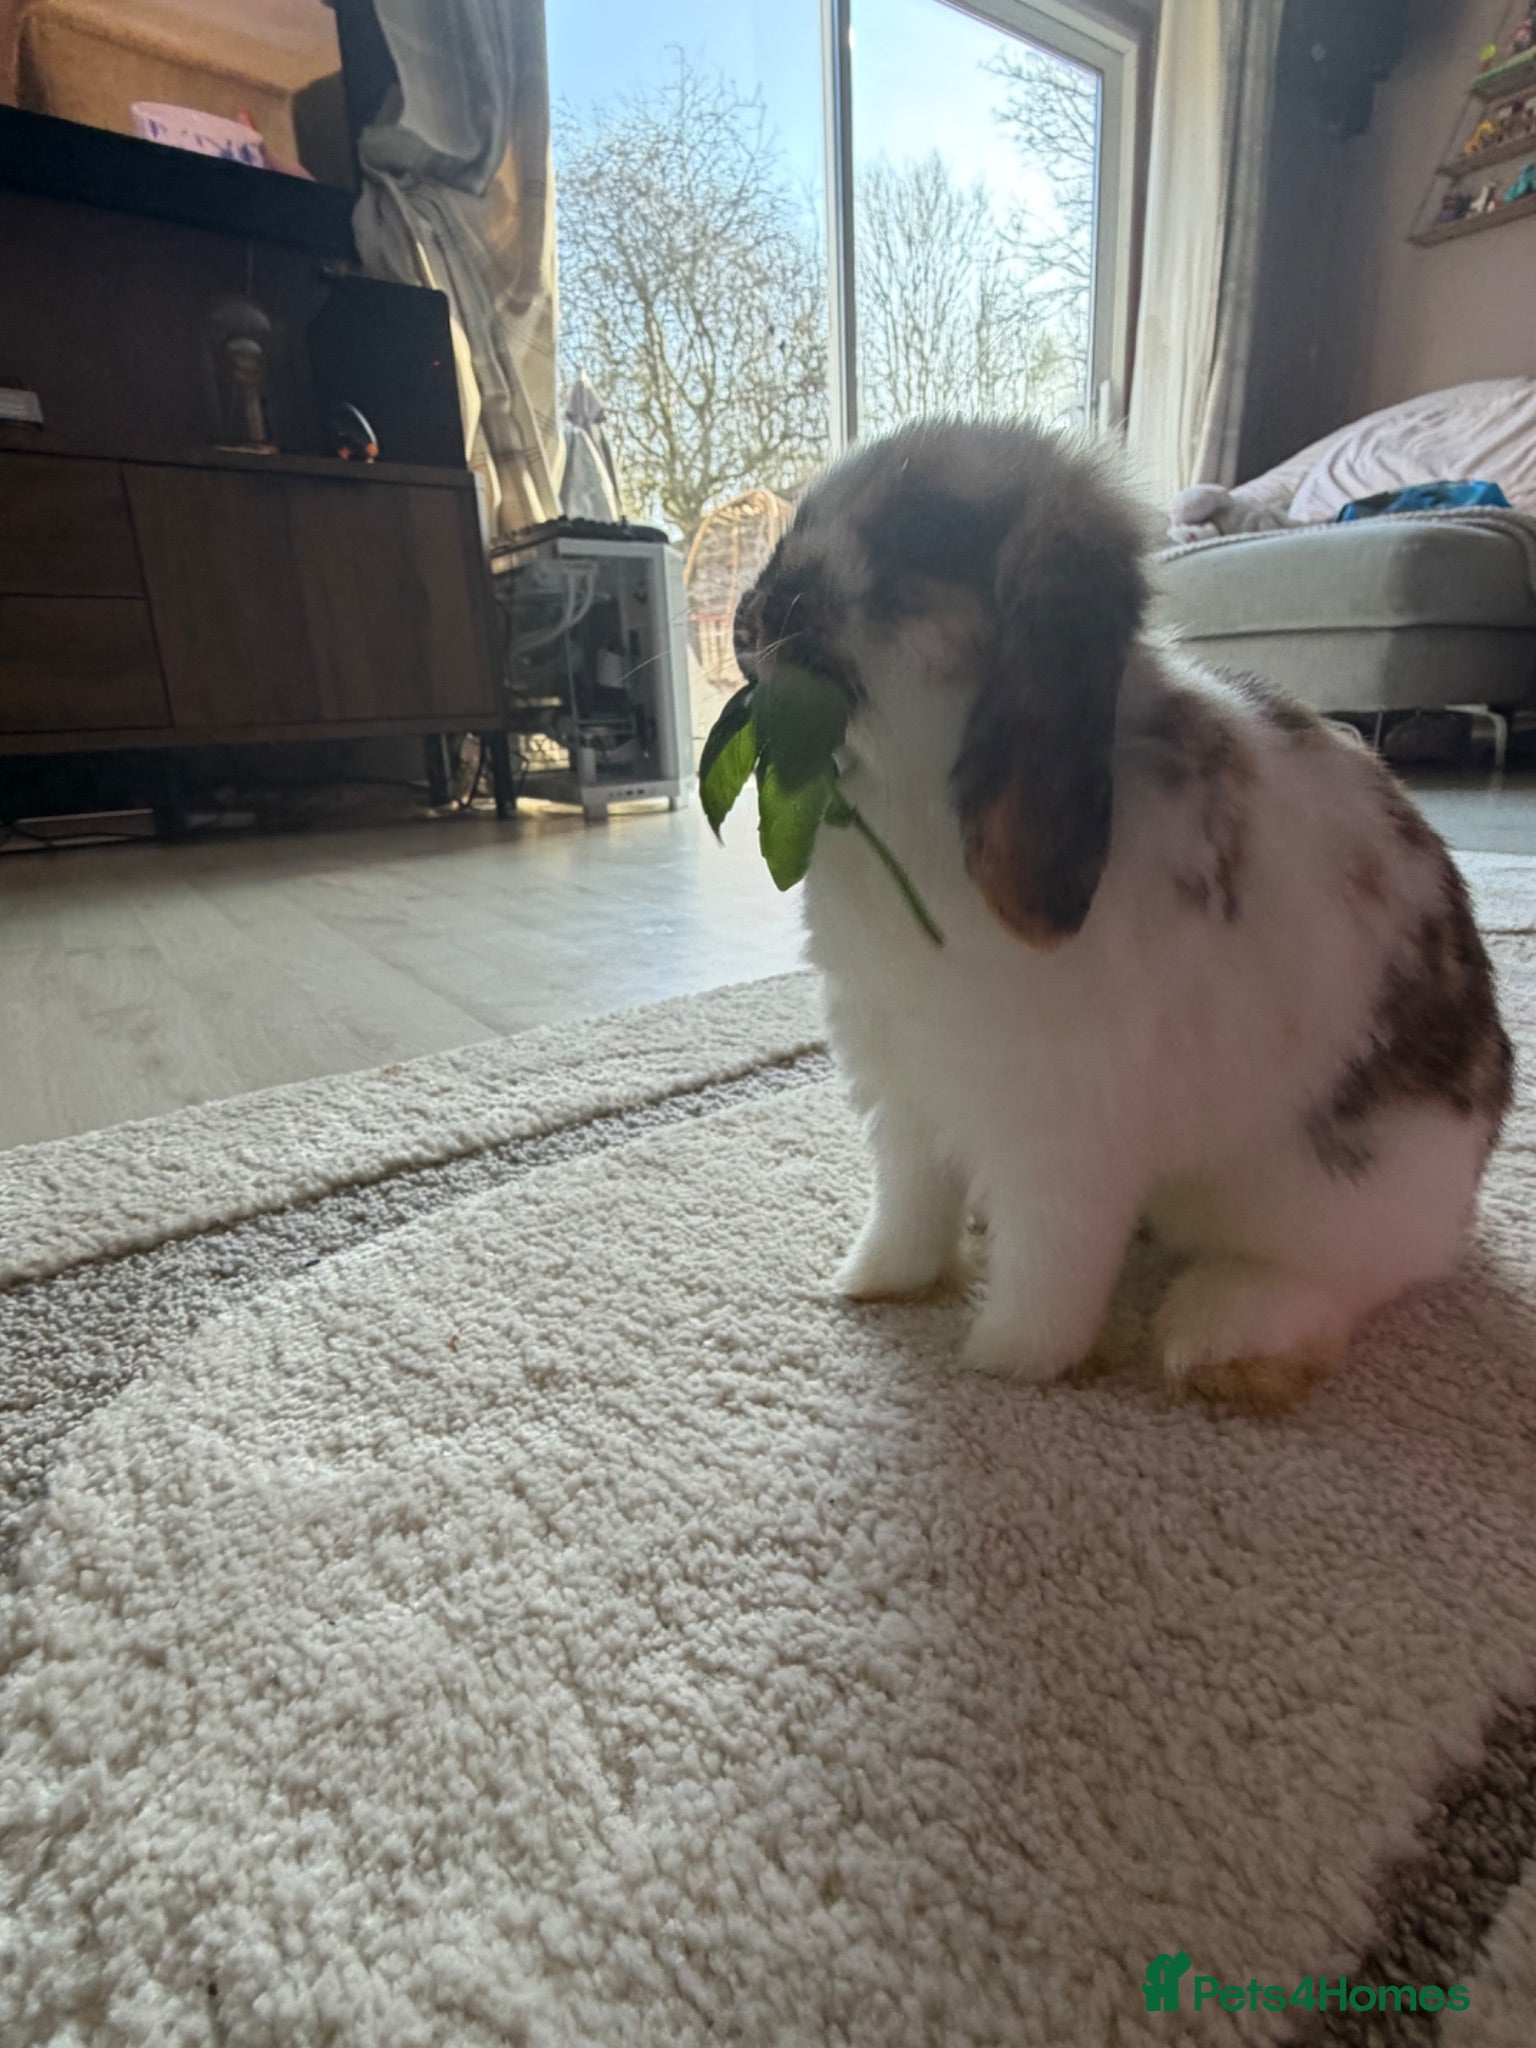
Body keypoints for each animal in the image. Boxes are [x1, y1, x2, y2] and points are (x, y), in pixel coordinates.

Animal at [732, 421, 1514, 1403]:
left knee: (1343, 1277)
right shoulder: (903, 1087)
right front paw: (876, 1283)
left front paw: (1011, 1360)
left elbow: (1053, 1256)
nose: (748, 620)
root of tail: (1464, 1180)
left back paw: (1222, 1340)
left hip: (1329, 1194)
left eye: (925, 531)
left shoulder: (1061, 1126)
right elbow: (909, 1202)